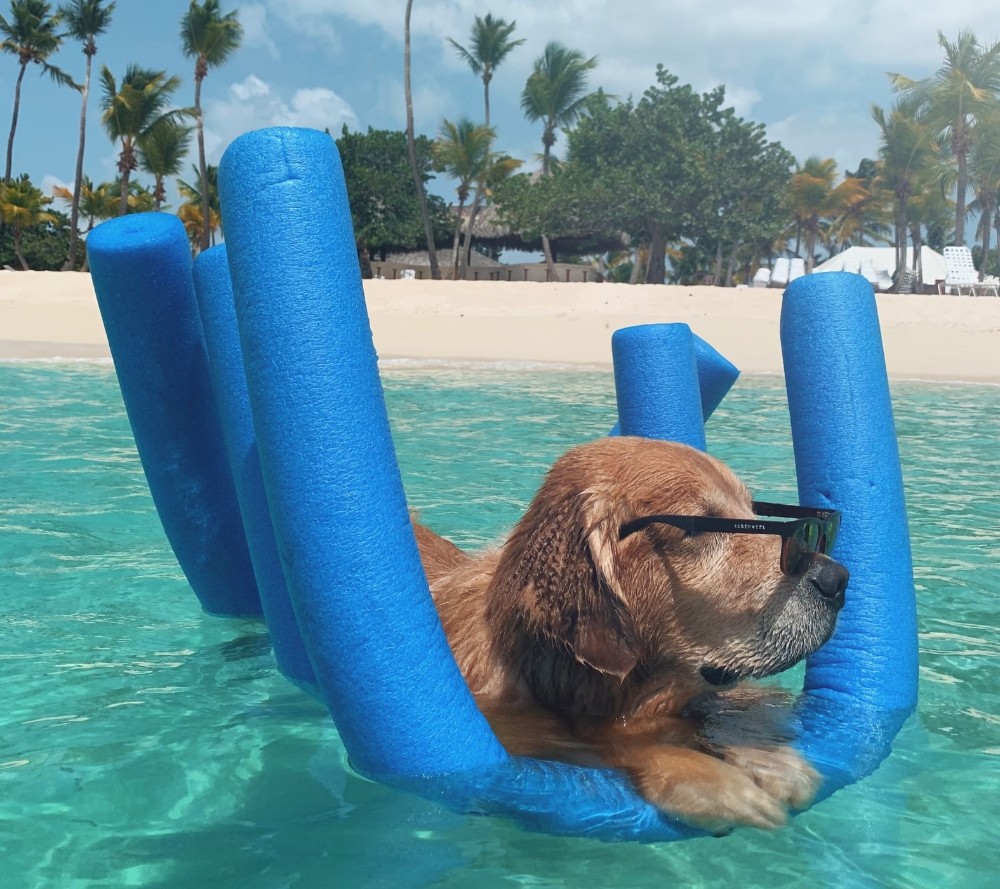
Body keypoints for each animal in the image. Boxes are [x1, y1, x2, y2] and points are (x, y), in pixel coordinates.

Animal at [410, 438, 848, 832]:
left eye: (752, 512)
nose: (838, 580)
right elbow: (603, 739)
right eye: (701, 529)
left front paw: (764, 753)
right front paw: (707, 779)